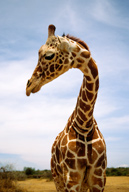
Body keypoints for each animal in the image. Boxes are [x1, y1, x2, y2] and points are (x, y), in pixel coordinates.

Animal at [25, 24, 107, 191]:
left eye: (48, 55)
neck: (84, 123)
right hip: (57, 179)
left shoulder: (99, 178)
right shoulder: (72, 177)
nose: (28, 86)